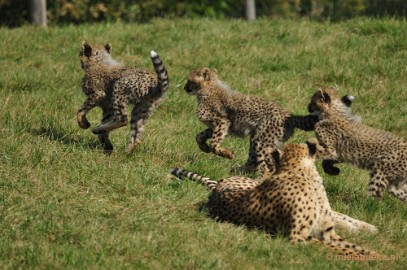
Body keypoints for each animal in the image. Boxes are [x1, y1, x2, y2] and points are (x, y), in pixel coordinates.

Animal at [184, 67, 318, 176]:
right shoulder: (216, 126)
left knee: (268, 167)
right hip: (257, 138)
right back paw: (238, 171)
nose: (185, 88)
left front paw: (227, 154)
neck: (208, 88)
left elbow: (214, 143)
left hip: (261, 140)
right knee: (255, 162)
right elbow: (199, 136)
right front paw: (204, 148)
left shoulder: (222, 122)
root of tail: (289, 115)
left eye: (190, 81)